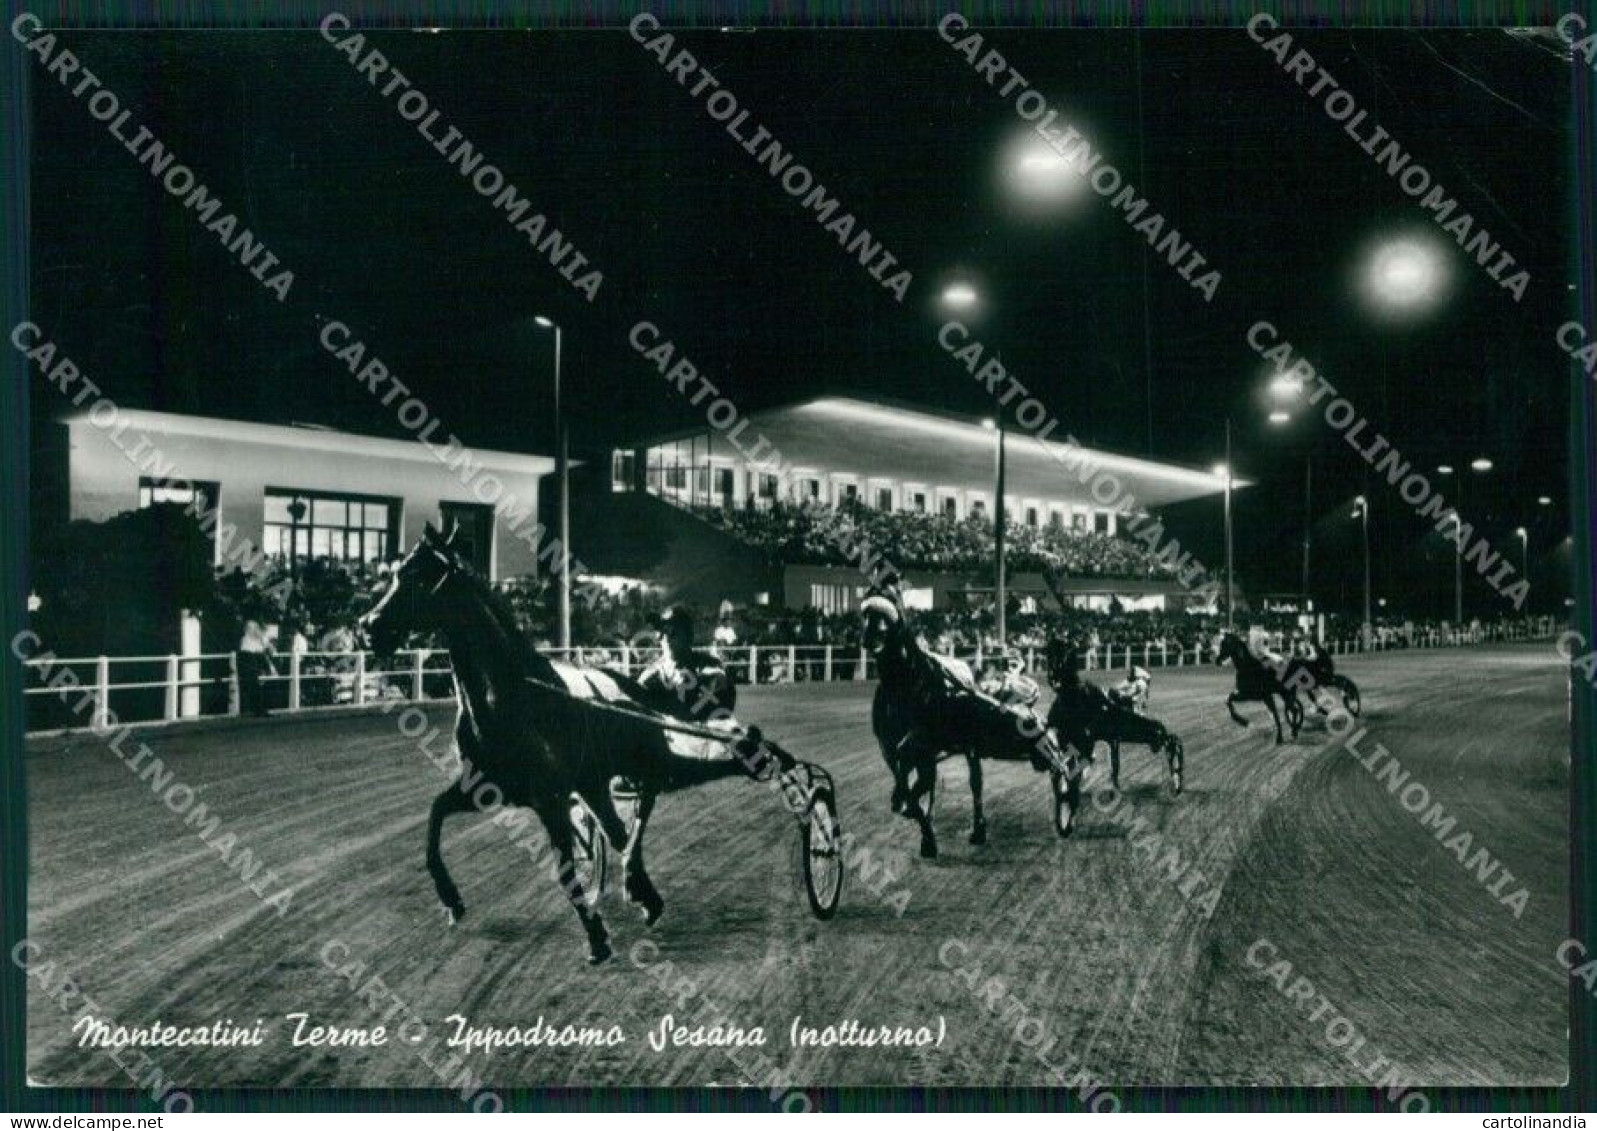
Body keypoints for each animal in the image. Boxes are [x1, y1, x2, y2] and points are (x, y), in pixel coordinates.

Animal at [357, 527, 792, 964]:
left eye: (418, 576)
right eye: (397, 572)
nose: (367, 627)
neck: (511, 700)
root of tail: (634, 689)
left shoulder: (550, 800)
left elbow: (567, 869)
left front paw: (597, 937)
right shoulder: (485, 787)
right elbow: (434, 819)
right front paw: (451, 899)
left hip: (640, 766)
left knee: (638, 814)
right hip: (594, 783)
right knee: (618, 831)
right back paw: (644, 893)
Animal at [862, 584, 1073, 856]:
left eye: (890, 604)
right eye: (866, 610)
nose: (869, 639)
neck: (905, 687)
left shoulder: (925, 744)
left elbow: (915, 786)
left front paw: (922, 827)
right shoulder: (892, 750)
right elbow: (910, 784)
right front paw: (921, 826)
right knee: (970, 782)